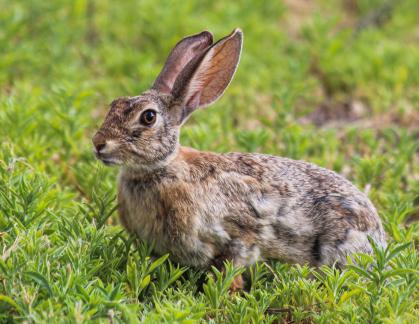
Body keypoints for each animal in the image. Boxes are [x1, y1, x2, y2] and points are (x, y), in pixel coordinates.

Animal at [92, 28, 388, 292]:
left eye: (148, 117)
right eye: (114, 104)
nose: (97, 144)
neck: (161, 169)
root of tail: (378, 239)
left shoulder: (239, 237)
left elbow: (231, 270)